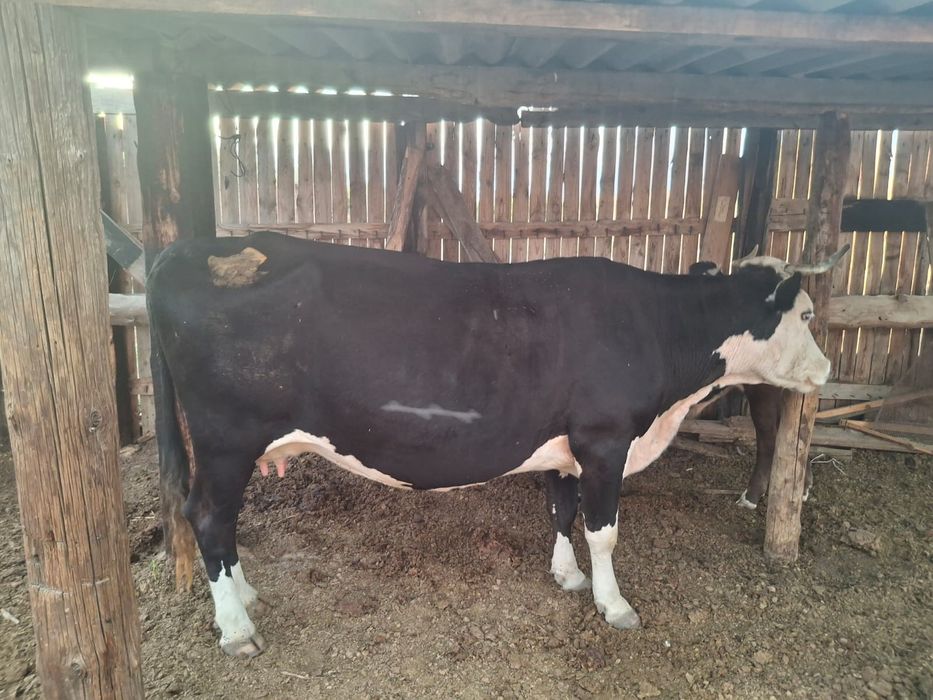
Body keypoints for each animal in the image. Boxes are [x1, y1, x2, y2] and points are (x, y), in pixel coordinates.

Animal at [146, 231, 847, 657]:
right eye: (808, 314)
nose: (826, 368)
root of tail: (192, 247)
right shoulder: (605, 438)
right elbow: (604, 531)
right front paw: (614, 603)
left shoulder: (565, 443)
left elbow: (562, 510)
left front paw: (567, 576)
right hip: (226, 438)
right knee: (208, 517)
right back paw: (237, 629)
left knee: (221, 524)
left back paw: (244, 595)